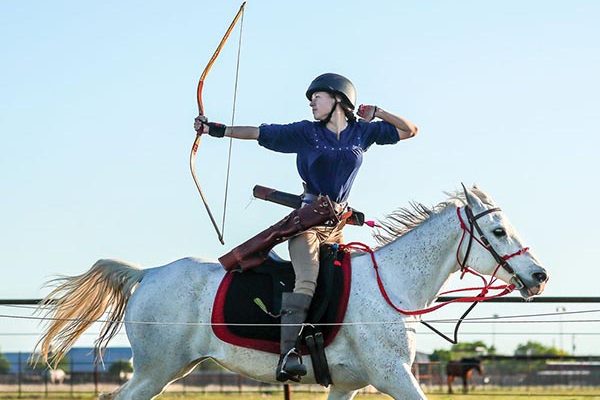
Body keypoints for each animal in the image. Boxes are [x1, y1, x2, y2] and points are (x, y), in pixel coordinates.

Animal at [34, 186, 548, 398]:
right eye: (498, 231)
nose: (539, 275)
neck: (391, 286)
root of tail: (149, 272)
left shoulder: (347, 386)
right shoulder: (394, 376)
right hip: (156, 371)